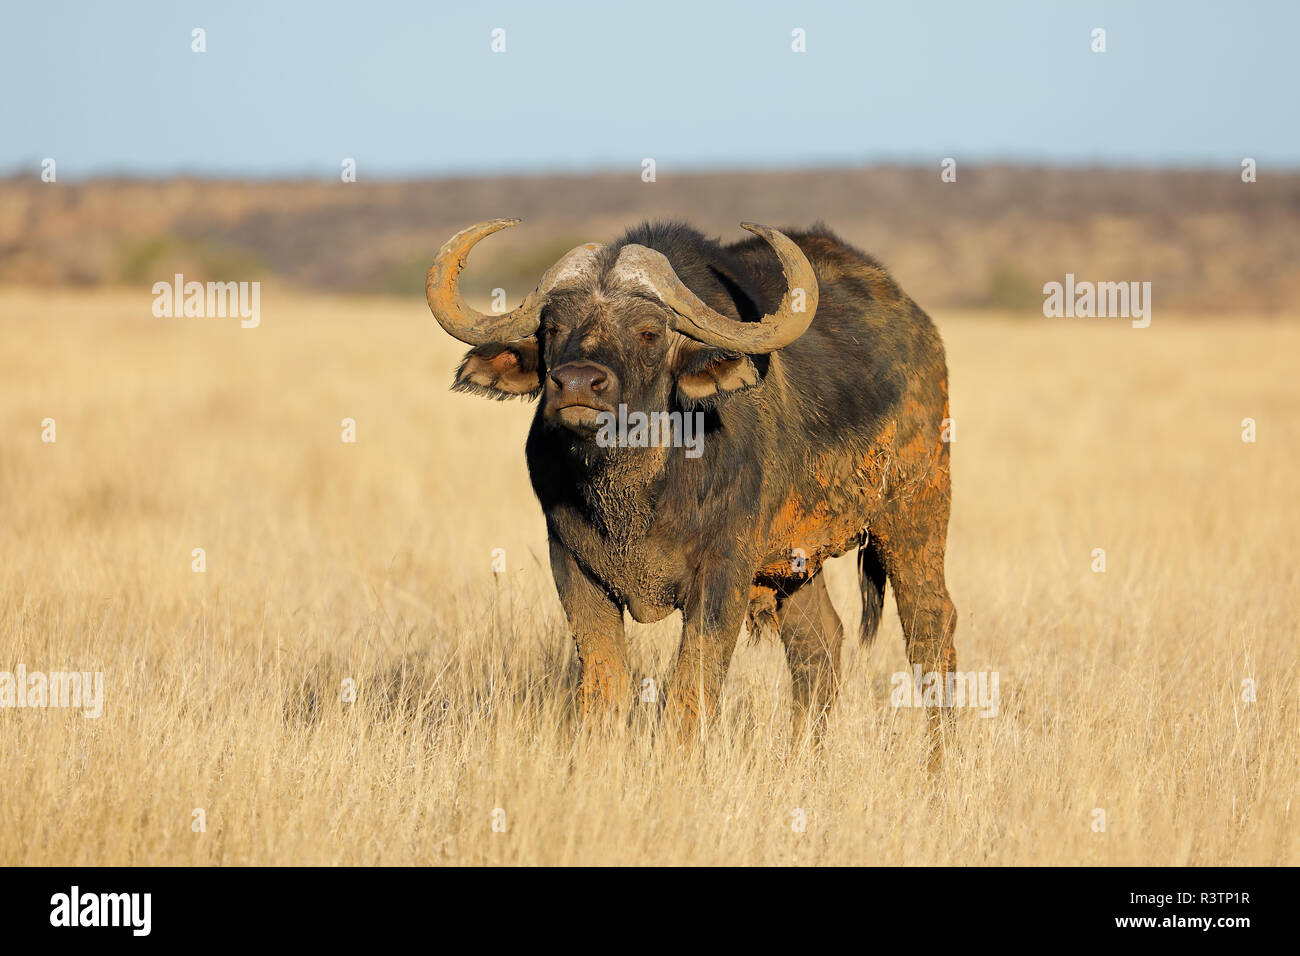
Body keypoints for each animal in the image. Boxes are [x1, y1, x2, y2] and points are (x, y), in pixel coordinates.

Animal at [426, 218, 956, 754]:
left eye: (649, 332)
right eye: (552, 327)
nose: (575, 384)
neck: (634, 495)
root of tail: (920, 329)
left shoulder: (724, 570)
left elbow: (690, 686)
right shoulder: (573, 566)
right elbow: (604, 684)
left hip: (915, 513)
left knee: (931, 625)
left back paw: (938, 757)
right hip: (797, 559)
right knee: (818, 639)